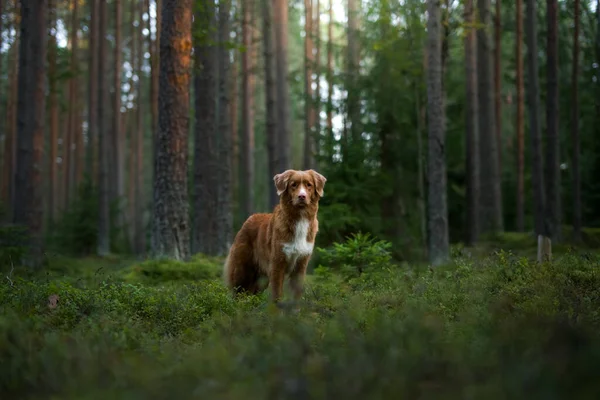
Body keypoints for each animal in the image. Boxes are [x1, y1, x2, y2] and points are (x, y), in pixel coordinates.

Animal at [224, 169, 328, 304]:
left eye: (309, 185)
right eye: (293, 185)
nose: (302, 196)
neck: (299, 218)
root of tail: (248, 219)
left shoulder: (301, 265)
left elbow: (296, 294)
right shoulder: (277, 263)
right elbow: (277, 293)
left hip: (261, 278)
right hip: (242, 269)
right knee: (237, 292)